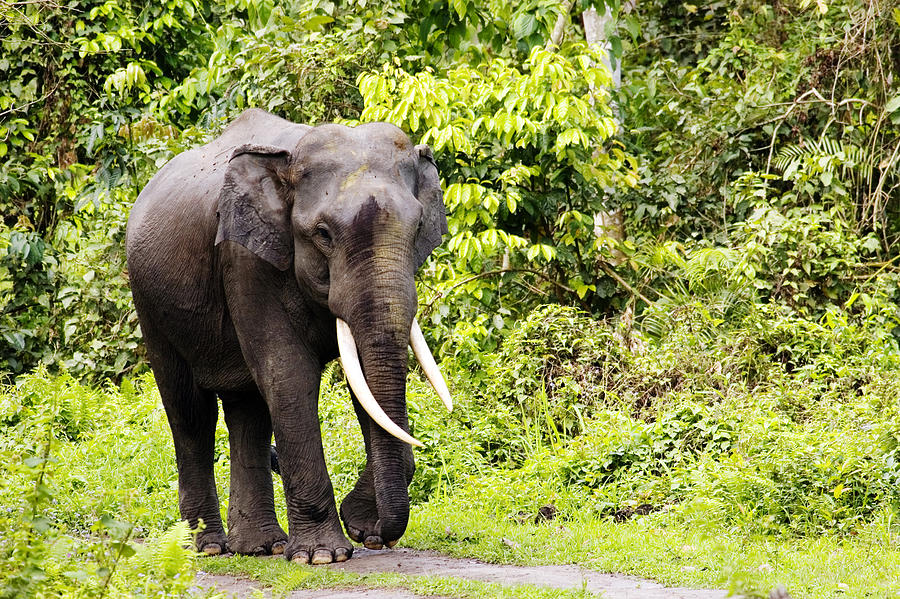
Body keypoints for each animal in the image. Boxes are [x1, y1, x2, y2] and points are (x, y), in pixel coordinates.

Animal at [125, 109, 450, 568]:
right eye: (323, 234)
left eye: (419, 225)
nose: (375, 535)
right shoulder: (245, 258)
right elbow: (288, 374)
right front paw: (322, 556)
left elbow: (363, 386)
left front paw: (359, 527)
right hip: (150, 302)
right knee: (191, 412)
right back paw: (208, 547)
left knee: (248, 412)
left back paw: (262, 547)